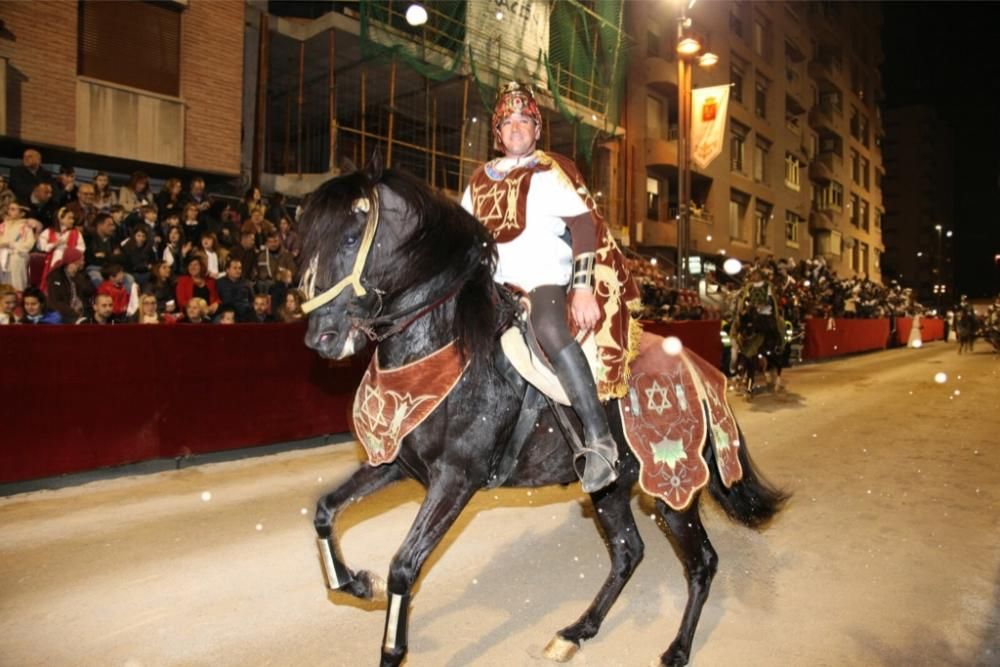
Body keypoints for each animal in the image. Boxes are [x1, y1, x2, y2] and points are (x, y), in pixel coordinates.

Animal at [296, 154, 788, 664]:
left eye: (350, 238)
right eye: (306, 240)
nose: (322, 337)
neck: (445, 343)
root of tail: (699, 368)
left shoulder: (456, 480)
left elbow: (403, 568)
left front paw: (390, 640)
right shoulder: (396, 463)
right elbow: (325, 511)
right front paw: (356, 583)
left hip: (673, 489)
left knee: (702, 561)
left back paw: (676, 649)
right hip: (612, 489)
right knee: (628, 551)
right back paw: (575, 631)